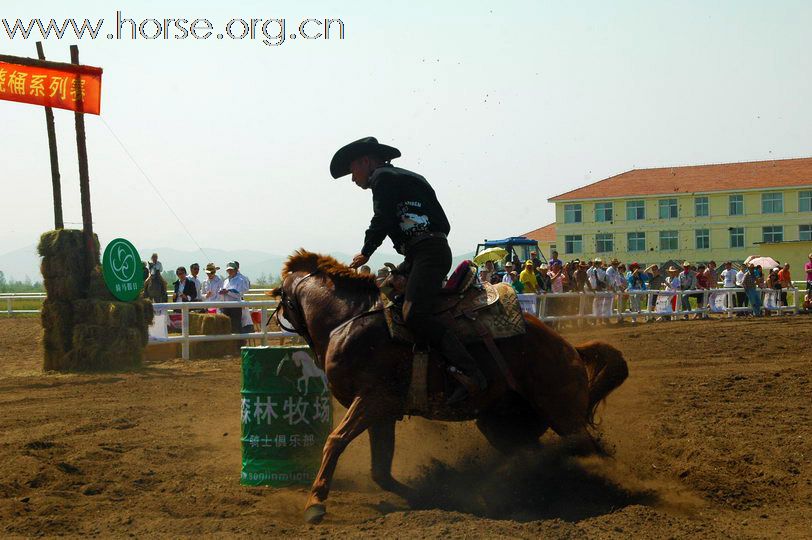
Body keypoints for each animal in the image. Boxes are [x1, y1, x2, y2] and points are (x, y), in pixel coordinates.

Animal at [272, 250, 628, 524]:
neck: (348, 319)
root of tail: (570, 348)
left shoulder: (372, 399)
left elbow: (335, 441)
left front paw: (315, 504)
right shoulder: (382, 413)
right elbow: (380, 470)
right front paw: (425, 495)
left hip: (562, 414)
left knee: (587, 449)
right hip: (502, 424)